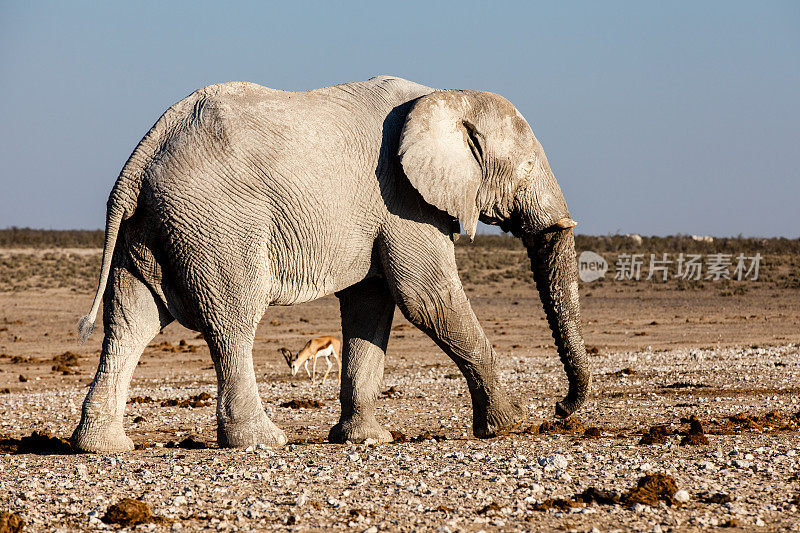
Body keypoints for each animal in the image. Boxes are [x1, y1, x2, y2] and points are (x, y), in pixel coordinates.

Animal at [72, 74, 592, 448]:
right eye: (527, 168)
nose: (561, 410)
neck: (448, 97)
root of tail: (139, 159)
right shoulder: (403, 201)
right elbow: (427, 299)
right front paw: (510, 425)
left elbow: (371, 306)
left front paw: (366, 440)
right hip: (215, 224)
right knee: (232, 321)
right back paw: (261, 442)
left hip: (151, 226)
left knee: (131, 320)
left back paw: (101, 446)